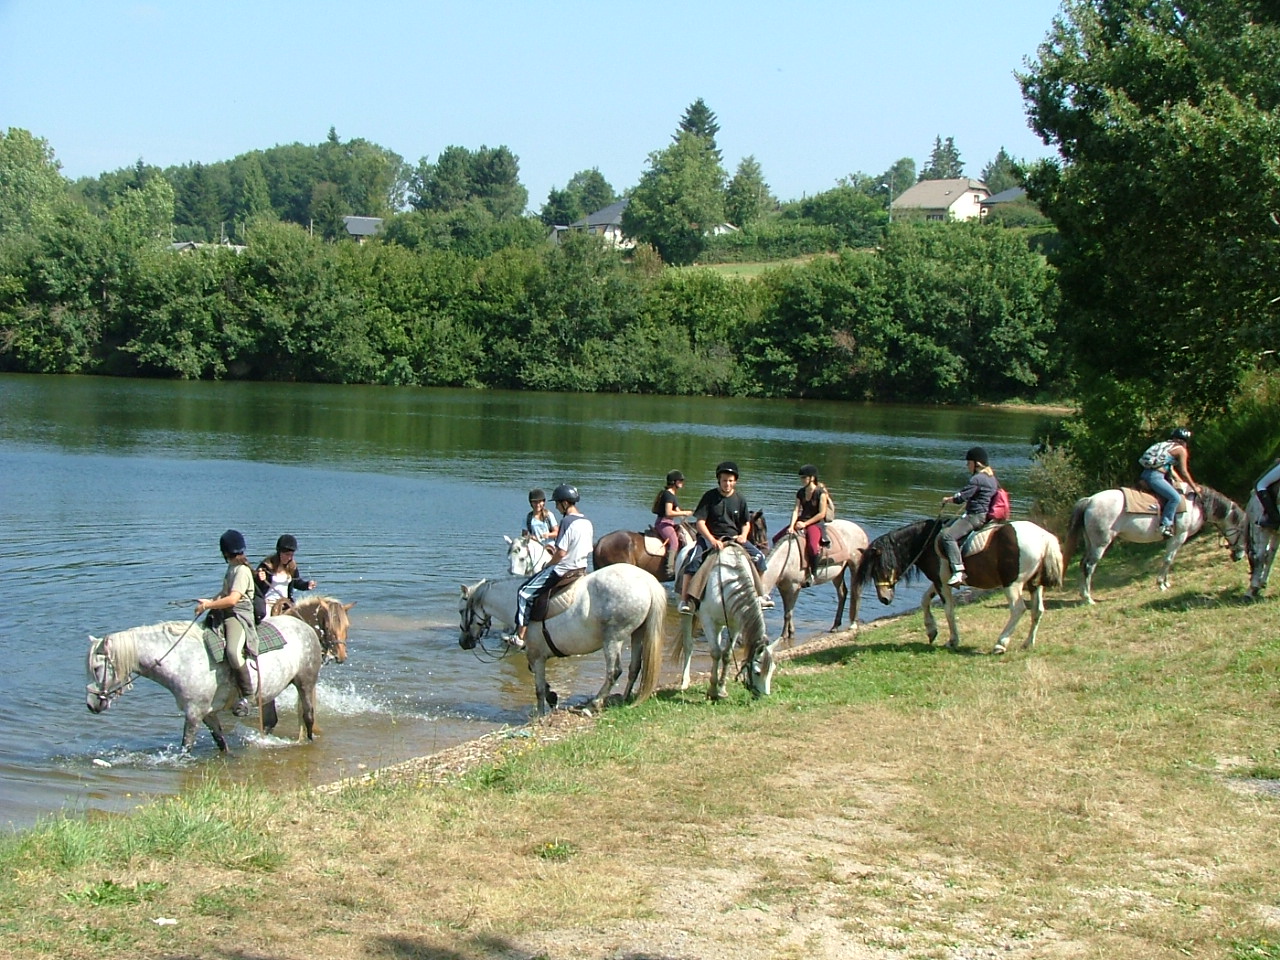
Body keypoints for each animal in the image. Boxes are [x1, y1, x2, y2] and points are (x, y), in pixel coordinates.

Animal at [86, 615, 323, 752]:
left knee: (308, 716)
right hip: (269, 693)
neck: (181, 659)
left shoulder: (193, 713)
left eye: (96, 668)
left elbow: (186, 746)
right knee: (271, 721)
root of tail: (304, 625)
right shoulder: (207, 714)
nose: (91, 704)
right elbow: (220, 742)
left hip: (305, 683)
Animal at [458, 564, 668, 716]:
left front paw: (540, 714)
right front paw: (552, 697)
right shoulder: (535, 655)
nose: (463, 642)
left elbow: (538, 688)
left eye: (461, 610)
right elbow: (538, 680)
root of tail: (647, 581)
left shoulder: (536, 655)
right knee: (635, 667)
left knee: (614, 671)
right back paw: (623, 699)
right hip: (637, 633)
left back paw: (593, 706)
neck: (517, 606)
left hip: (613, 639)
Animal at [677, 543, 778, 700]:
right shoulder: (708, 621)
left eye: (773, 669)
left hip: (720, 624)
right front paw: (713, 690)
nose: (762, 696)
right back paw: (684, 682)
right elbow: (715, 653)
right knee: (688, 645)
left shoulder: (735, 625)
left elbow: (726, 655)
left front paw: (722, 689)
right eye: (757, 672)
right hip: (688, 615)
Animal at [855, 518, 1064, 654]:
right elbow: (925, 600)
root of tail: (1044, 537)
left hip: (1013, 584)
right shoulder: (940, 580)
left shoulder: (942, 582)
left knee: (1018, 609)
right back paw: (1028, 644)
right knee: (1037, 611)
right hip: (1035, 584)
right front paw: (931, 630)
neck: (928, 542)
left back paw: (1000, 644)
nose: (884, 599)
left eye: (878, 568)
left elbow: (948, 609)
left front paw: (952, 640)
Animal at [1062, 485, 1246, 603]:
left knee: (1082, 564)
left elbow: (1169, 560)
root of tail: (1090, 501)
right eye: (1244, 534)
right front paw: (1161, 584)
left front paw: (1166, 582)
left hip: (1090, 543)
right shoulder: (1178, 537)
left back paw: (1083, 594)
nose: (1239, 556)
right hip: (1100, 544)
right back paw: (1088, 598)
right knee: (1089, 566)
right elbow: (1168, 560)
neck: (1196, 504)